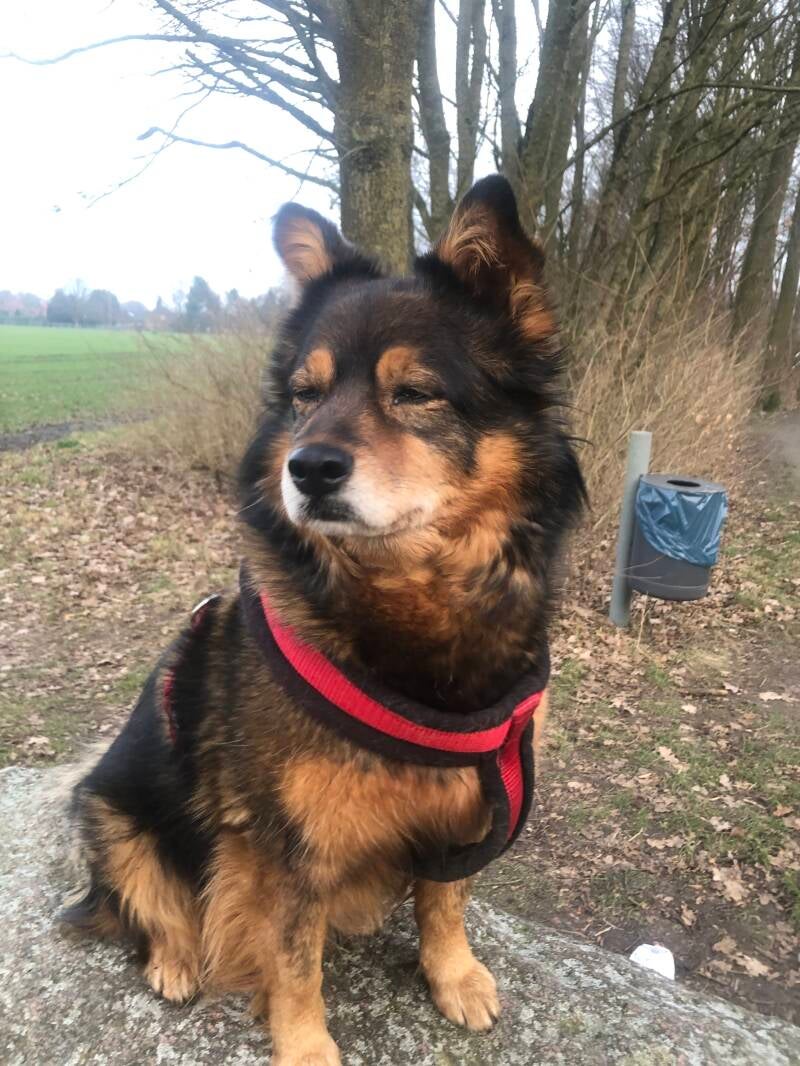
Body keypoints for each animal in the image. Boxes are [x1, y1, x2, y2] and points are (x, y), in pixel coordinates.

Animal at [65, 175, 585, 1065]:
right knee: (144, 902)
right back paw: (173, 960)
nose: (306, 469)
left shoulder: (468, 807)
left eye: (413, 394)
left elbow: (445, 903)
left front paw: (452, 975)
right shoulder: (288, 847)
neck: (408, 608)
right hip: (109, 808)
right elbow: (294, 960)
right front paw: (306, 1046)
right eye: (305, 398)